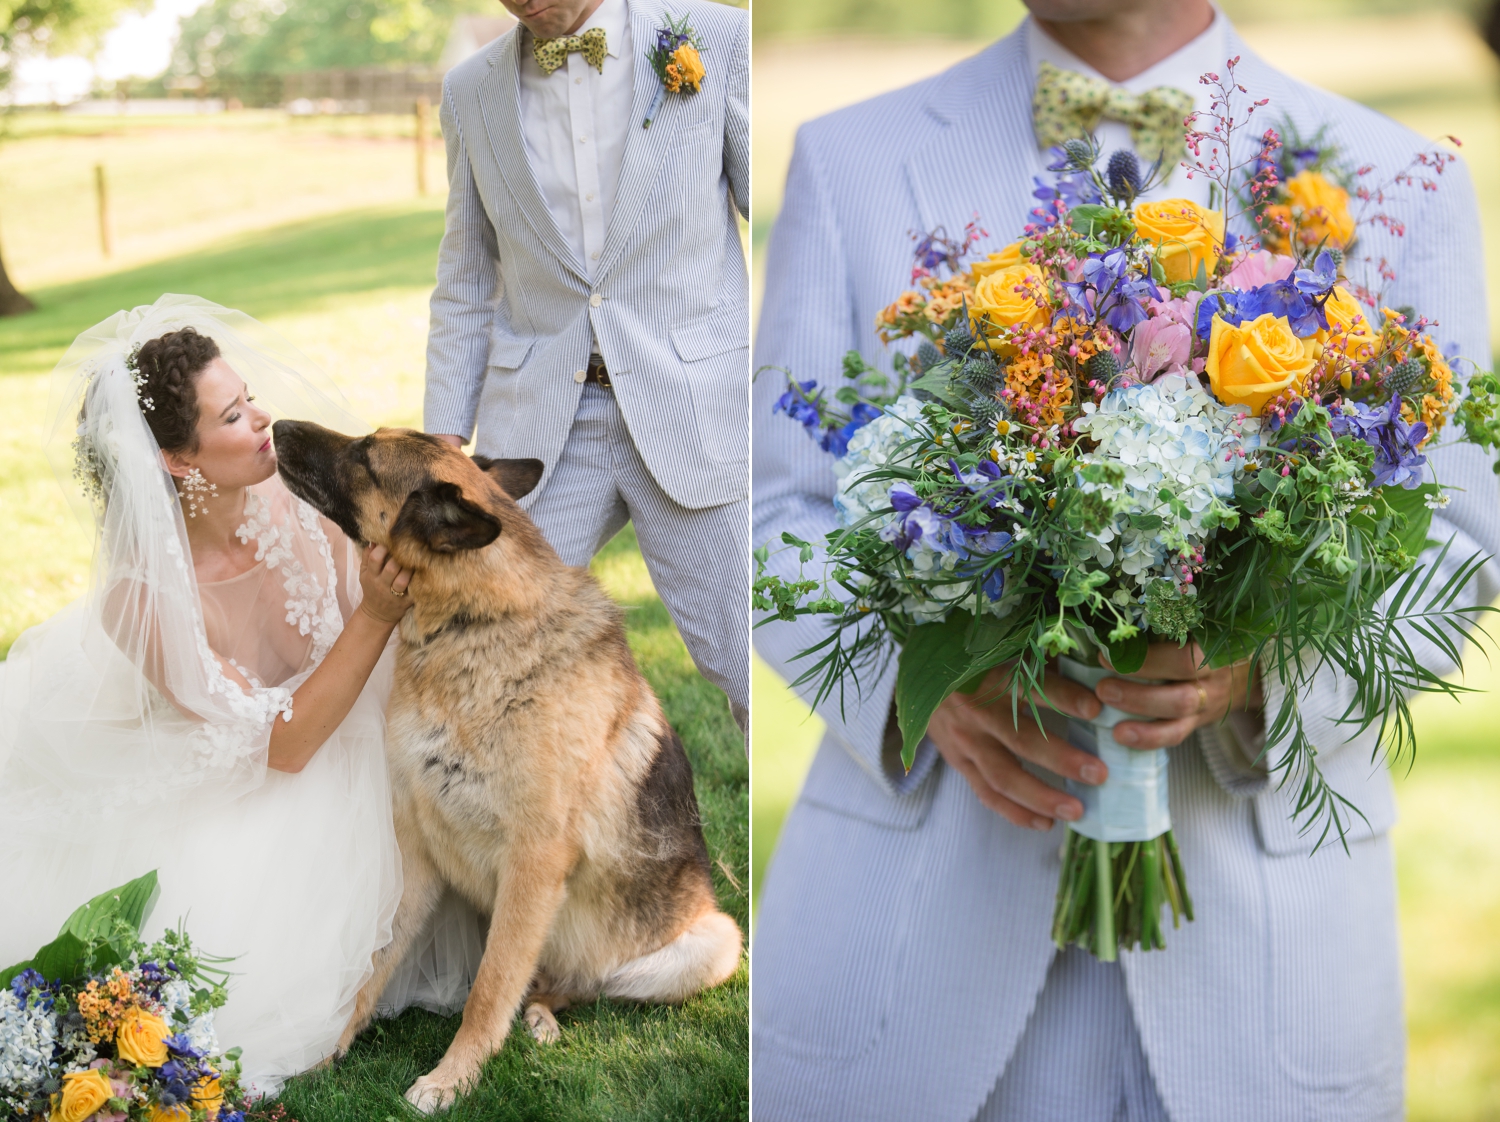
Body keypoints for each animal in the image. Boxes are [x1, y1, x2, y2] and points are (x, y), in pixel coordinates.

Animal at [273, 420, 741, 1116]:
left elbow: (489, 988)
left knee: (574, 985)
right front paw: (321, 1052)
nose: (275, 425)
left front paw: (450, 1079)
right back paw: (539, 1015)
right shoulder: (415, 852)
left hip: (711, 944)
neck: (471, 628)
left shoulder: (534, 861)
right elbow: (372, 965)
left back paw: (543, 1018)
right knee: (546, 983)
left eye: (364, 455)